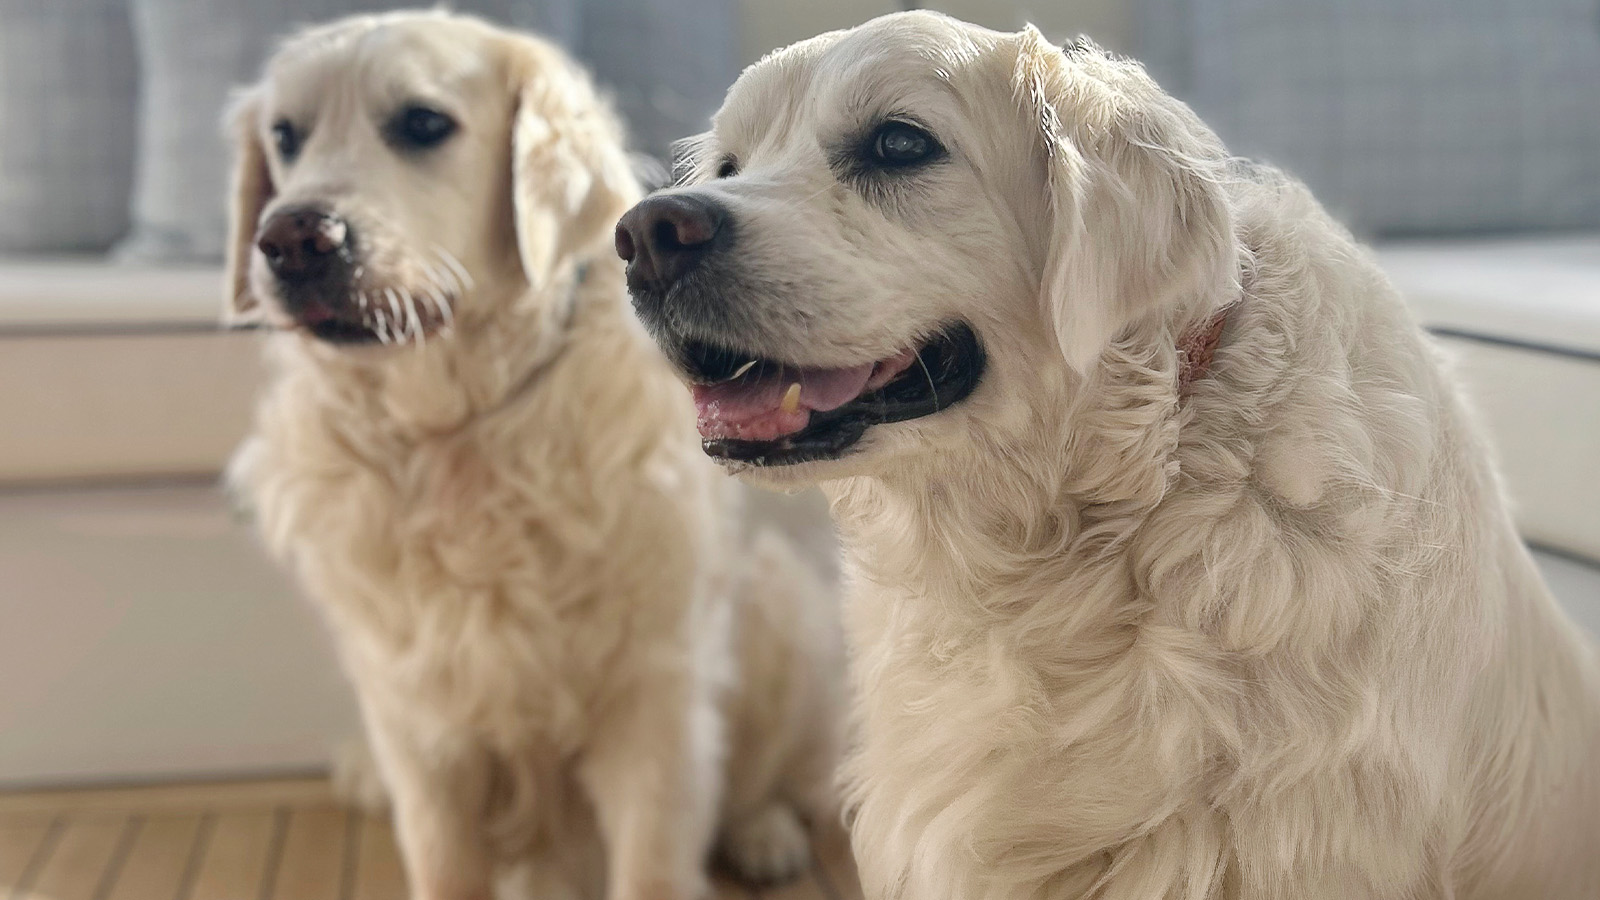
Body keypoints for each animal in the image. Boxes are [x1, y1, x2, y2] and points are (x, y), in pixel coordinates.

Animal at [232, 12, 851, 896]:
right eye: (285, 135)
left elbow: (654, 861)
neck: (459, 431)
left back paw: (765, 834)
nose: (290, 238)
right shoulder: (418, 718)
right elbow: (445, 862)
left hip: (778, 617)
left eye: (424, 124)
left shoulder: (655, 695)